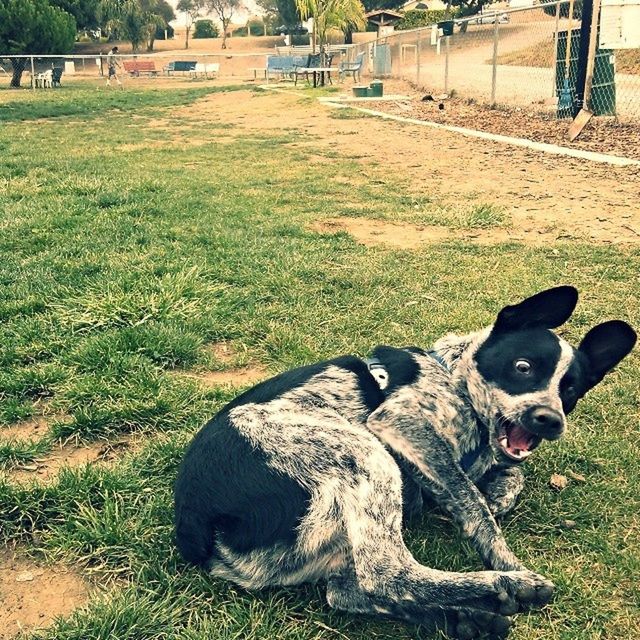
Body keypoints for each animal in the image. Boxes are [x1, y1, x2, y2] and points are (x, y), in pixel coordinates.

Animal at [174, 288, 636, 636]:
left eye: (571, 391)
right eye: (523, 367)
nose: (550, 420)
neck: (451, 376)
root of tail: (196, 526)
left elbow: (507, 476)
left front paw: (500, 492)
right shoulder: (403, 425)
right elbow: (472, 501)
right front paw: (506, 560)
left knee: (349, 591)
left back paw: (467, 618)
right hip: (364, 454)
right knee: (385, 573)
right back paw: (504, 586)